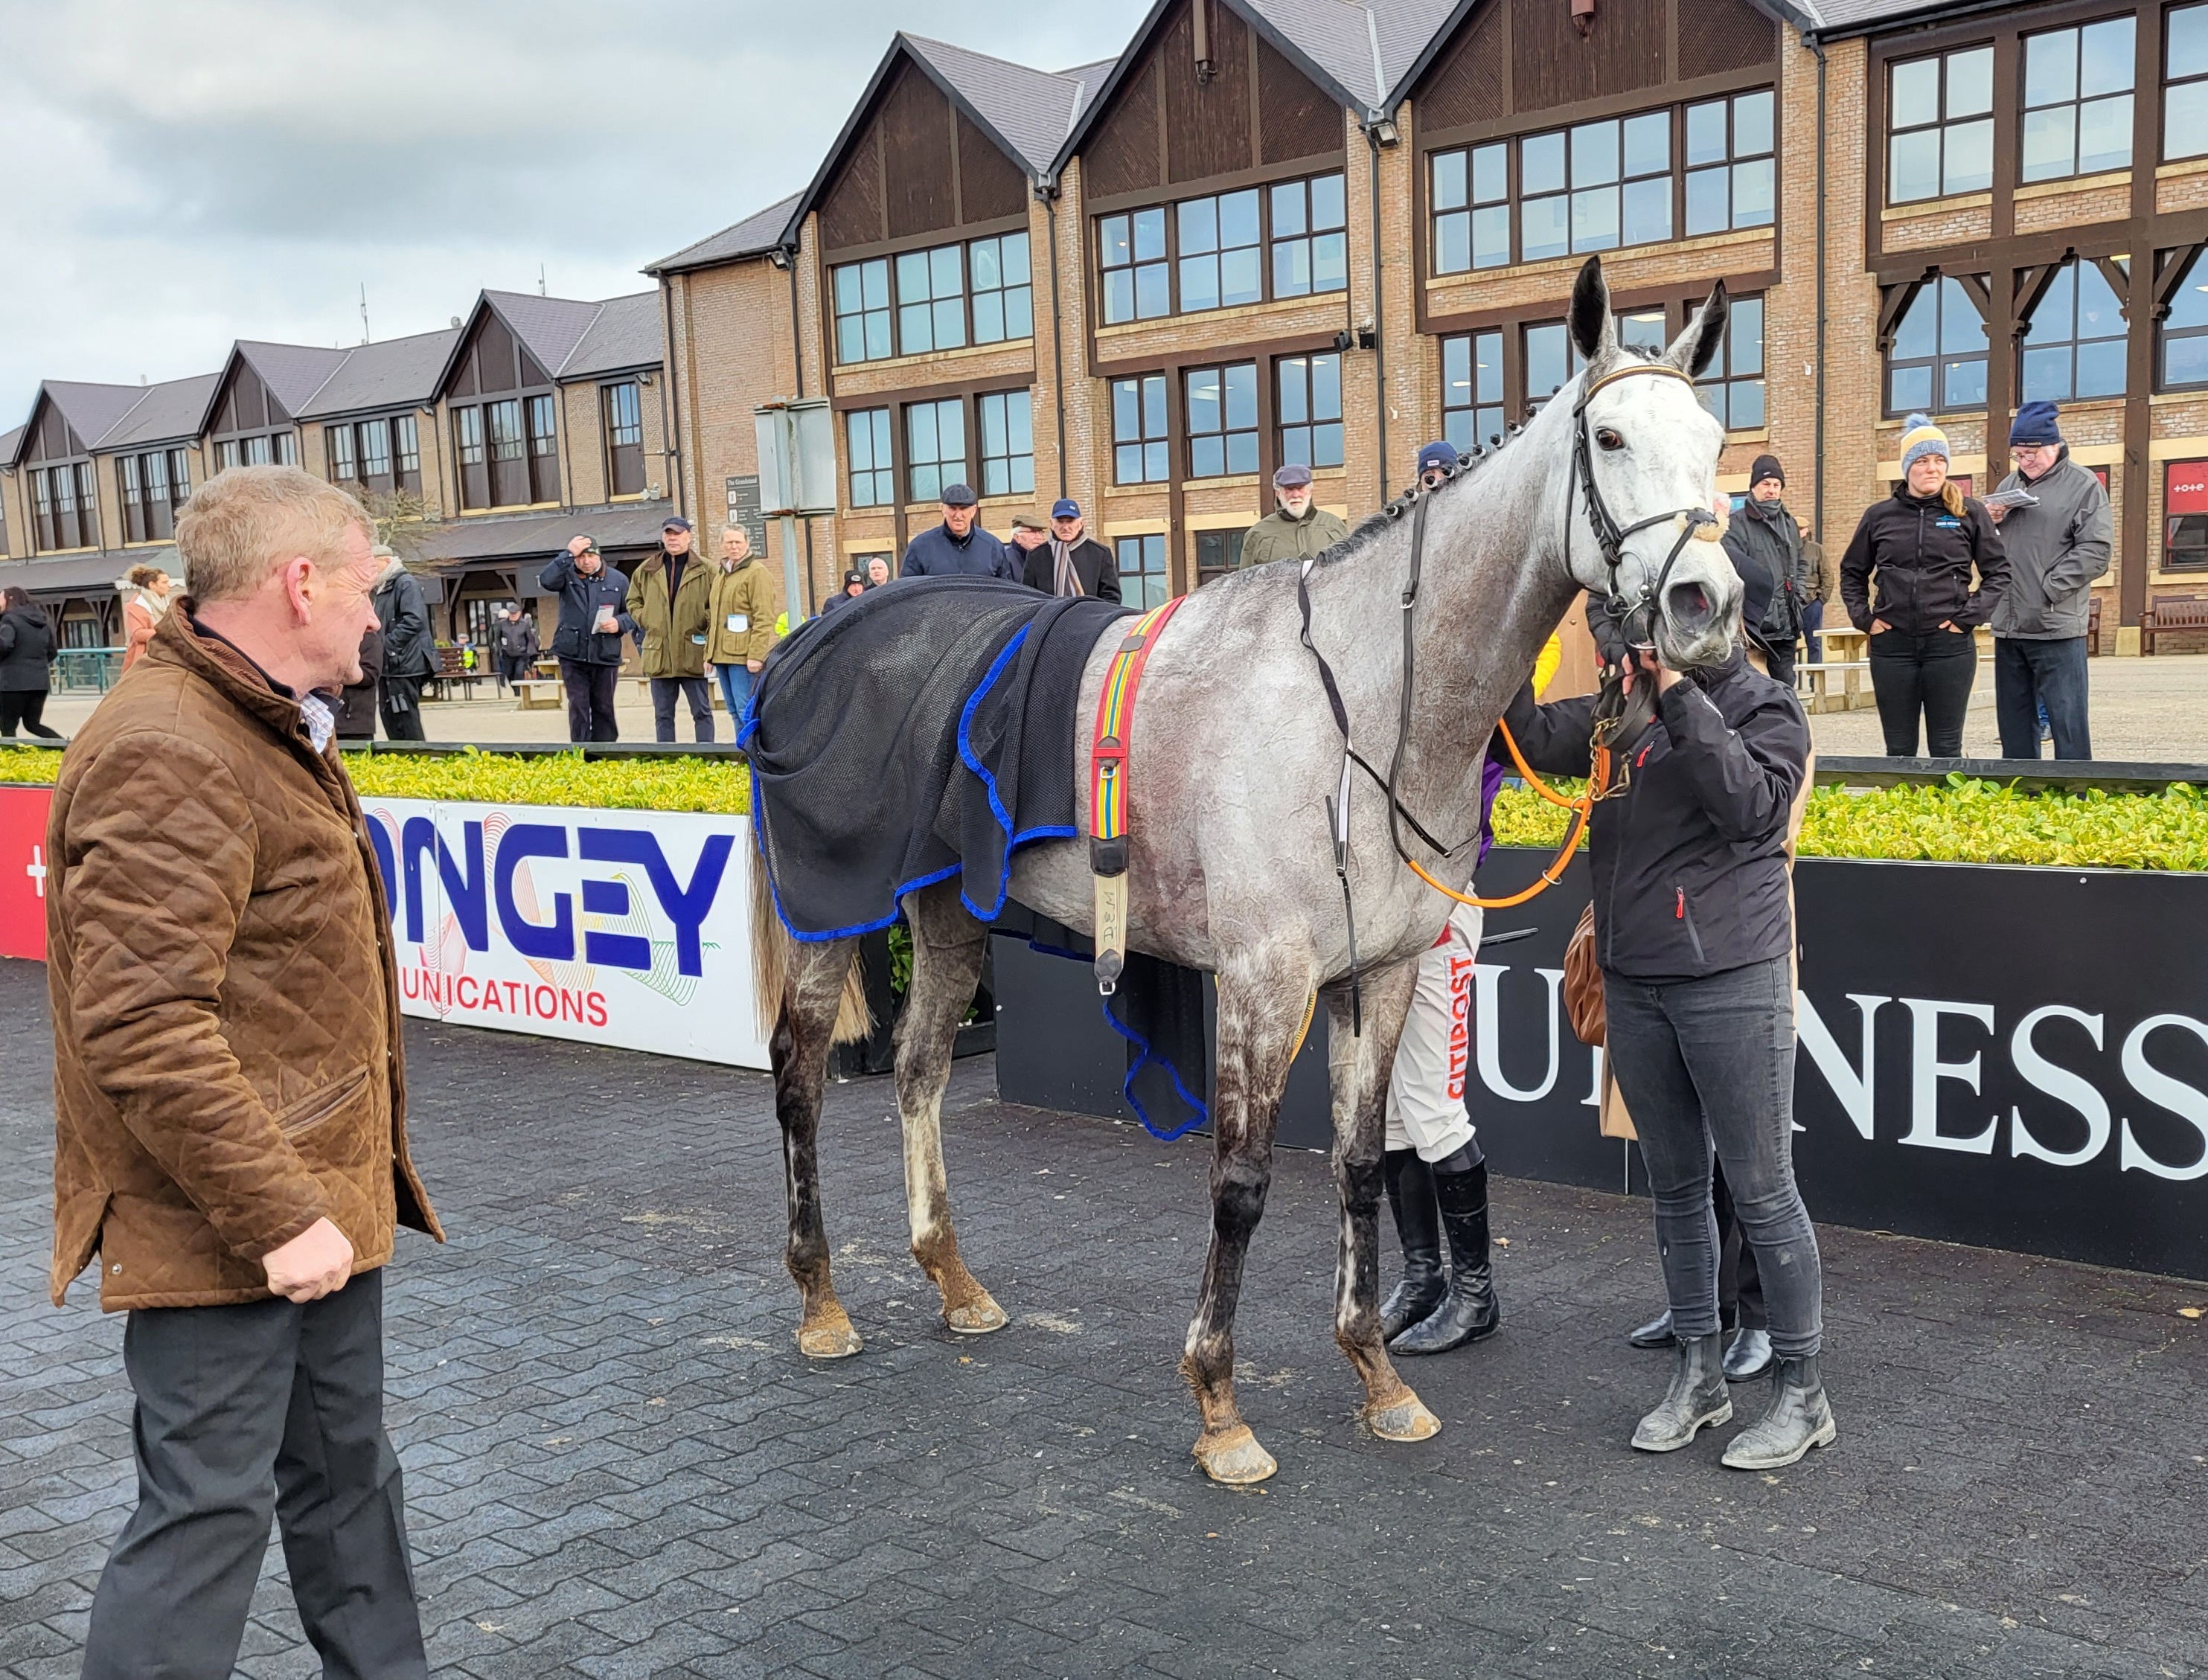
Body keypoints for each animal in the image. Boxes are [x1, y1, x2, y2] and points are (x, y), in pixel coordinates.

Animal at [750, 252, 1748, 1483]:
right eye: (1606, 436)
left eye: (1712, 436)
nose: (1706, 607)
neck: (1360, 702)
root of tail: (808, 638)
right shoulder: (1260, 984)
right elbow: (1239, 1183)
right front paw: (1219, 1403)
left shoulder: (1379, 974)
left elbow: (1363, 1166)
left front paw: (1376, 1373)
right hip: (829, 913)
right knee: (798, 1077)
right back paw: (820, 1299)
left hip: (943, 911)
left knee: (920, 1068)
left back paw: (952, 1277)